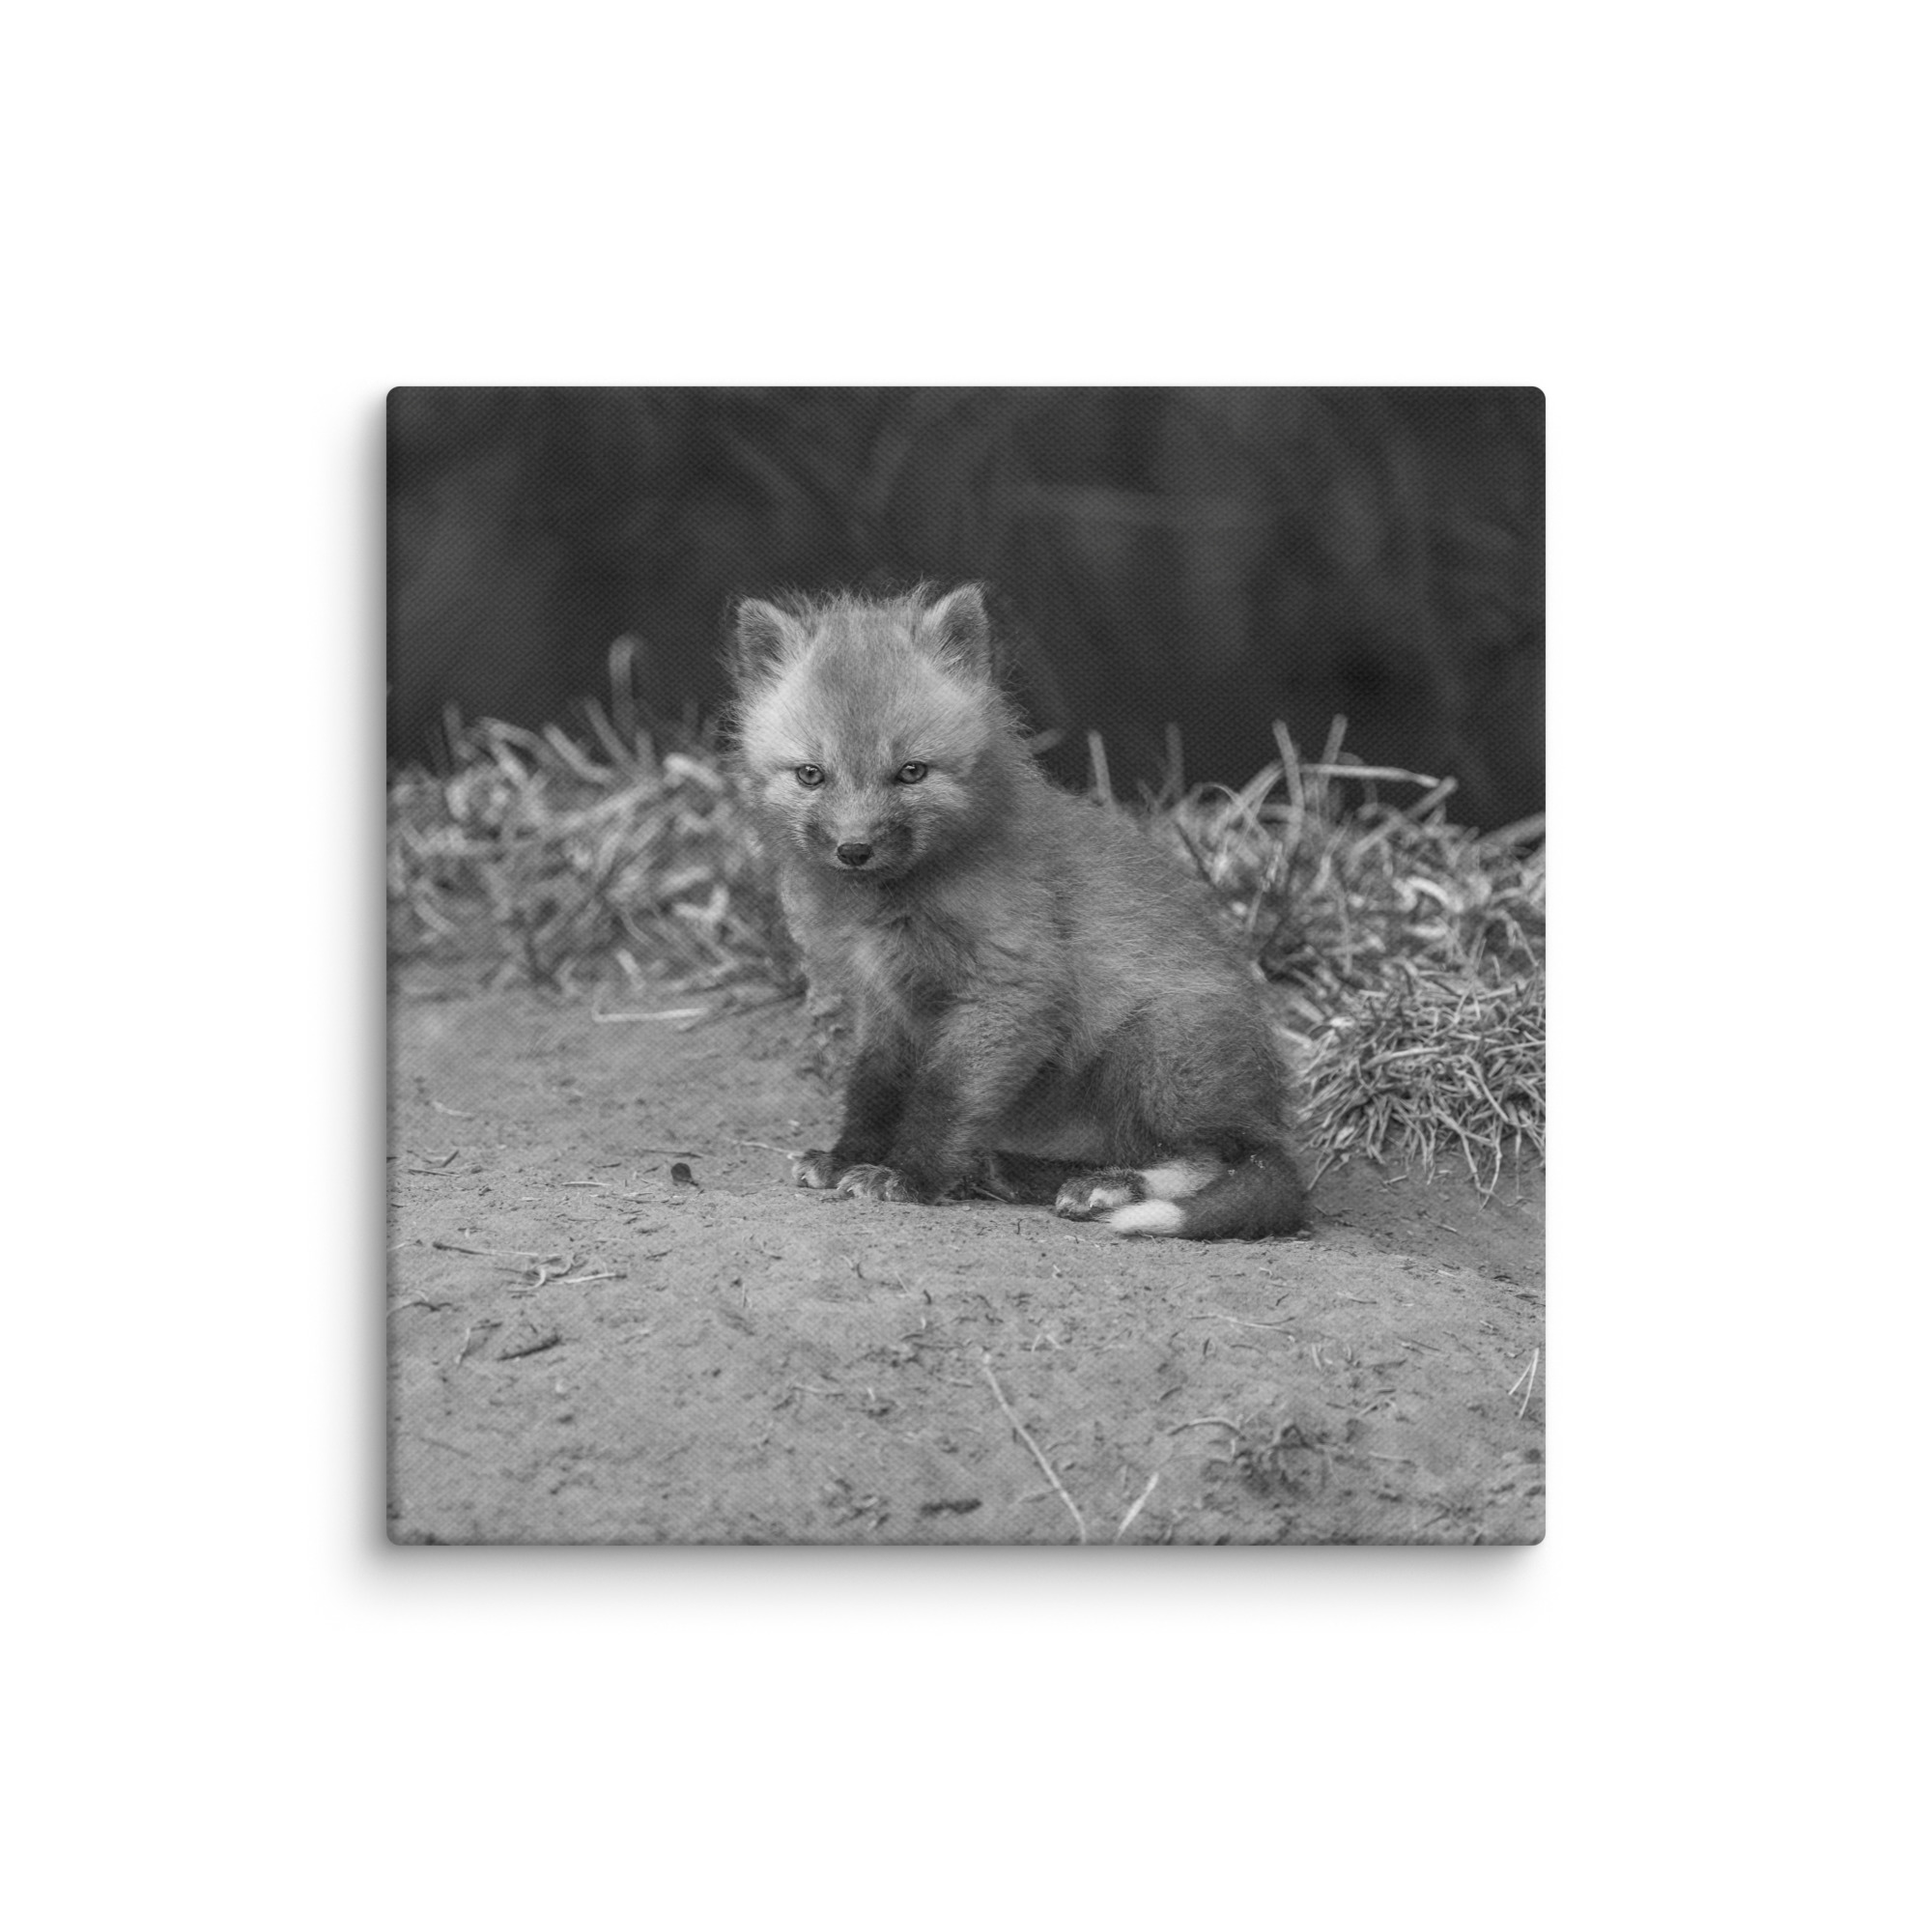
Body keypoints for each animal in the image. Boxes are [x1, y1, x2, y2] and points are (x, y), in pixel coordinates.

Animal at [728, 581, 1307, 1240]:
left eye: (910, 772)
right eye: (811, 775)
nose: (854, 849)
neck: (895, 907)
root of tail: (1267, 1110)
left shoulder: (1010, 989)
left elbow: (944, 1096)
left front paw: (908, 1176)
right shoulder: (885, 1002)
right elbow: (874, 1088)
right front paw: (848, 1156)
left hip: (1158, 1048)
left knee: (1218, 1157)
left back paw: (1109, 1188)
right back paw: (1015, 1171)